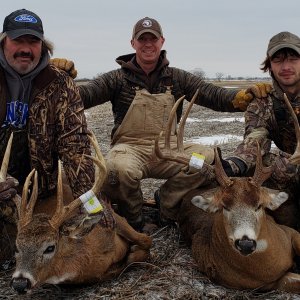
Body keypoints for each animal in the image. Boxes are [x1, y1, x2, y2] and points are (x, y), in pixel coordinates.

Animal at [10, 132, 152, 294]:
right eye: (16, 247)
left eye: (50, 247)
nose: (20, 283)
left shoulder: (114, 219)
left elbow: (145, 241)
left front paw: (134, 249)